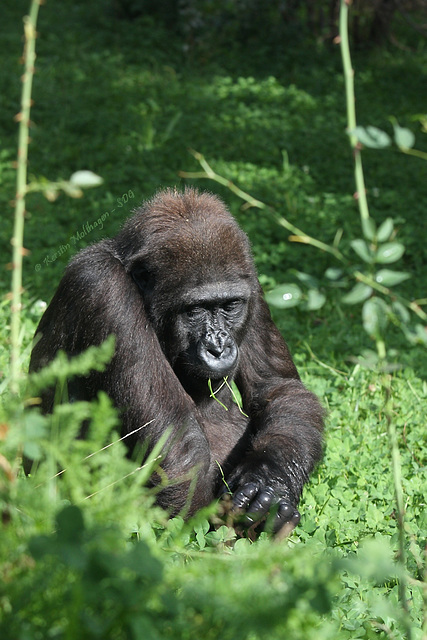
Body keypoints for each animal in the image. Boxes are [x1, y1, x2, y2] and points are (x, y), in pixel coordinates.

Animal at [30, 188, 324, 532]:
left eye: (230, 306)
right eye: (194, 310)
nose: (218, 347)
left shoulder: (251, 280)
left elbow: (279, 390)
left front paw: (270, 482)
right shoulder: (102, 287)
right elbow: (175, 449)